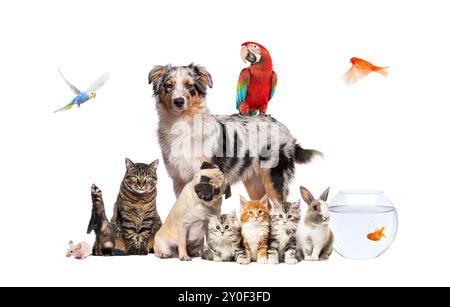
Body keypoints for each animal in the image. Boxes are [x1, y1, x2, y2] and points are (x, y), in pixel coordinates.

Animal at [149, 63, 320, 201]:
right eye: (168, 85)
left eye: (190, 85)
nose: (178, 101)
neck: (182, 124)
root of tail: (285, 128)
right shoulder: (179, 180)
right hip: (255, 183)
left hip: (275, 179)